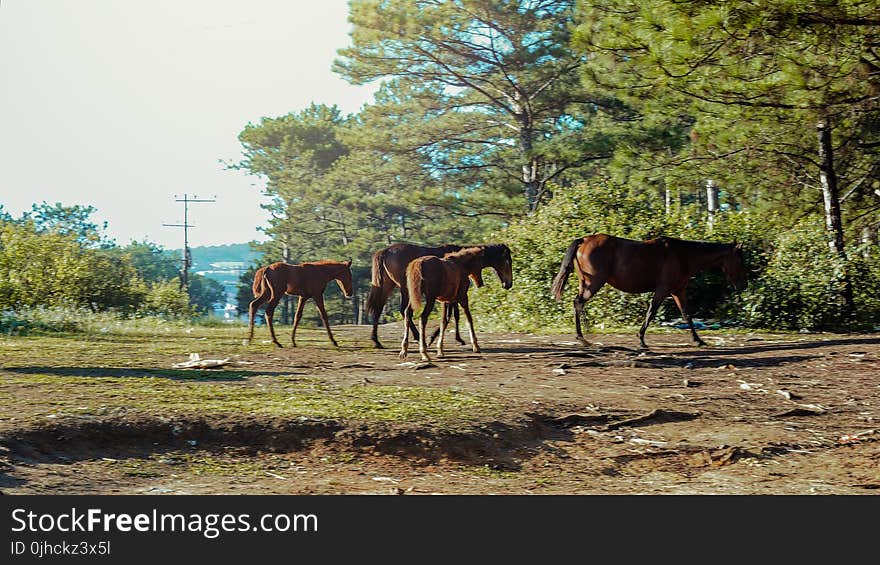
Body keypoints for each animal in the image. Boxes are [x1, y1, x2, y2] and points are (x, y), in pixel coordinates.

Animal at [552, 232, 744, 346]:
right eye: (740, 259)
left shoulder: (678, 291)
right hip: (594, 283)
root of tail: (584, 240)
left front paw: (698, 340)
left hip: (585, 283)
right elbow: (651, 312)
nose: (744, 284)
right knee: (578, 303)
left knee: (577, 303)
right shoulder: (663, 290)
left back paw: (582, 335)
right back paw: (583, 336)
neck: (683, 256)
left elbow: (687, 315)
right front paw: (641, 339)